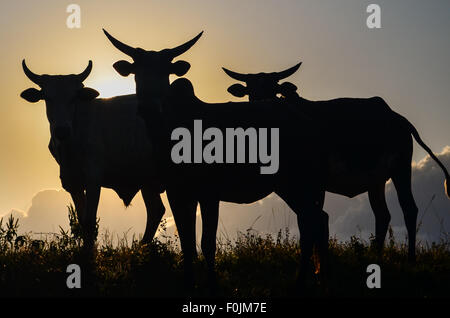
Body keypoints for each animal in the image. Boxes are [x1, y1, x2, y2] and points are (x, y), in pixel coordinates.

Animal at [19, 59, 165, 248]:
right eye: (47, 97)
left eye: (74, 97)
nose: (62, 130)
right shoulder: (72, 182)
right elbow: (82, 221)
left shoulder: (93, 178)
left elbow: (89, 221)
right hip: (147, 180)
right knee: (156, 210)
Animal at [224, 62, 450, 260]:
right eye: (251, 92)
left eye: (273, 89)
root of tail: (397, 118)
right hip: (376, 180)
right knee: (382, 214)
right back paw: (375, 256)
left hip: (401, 169)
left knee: (408, 208)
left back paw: (410, 257)